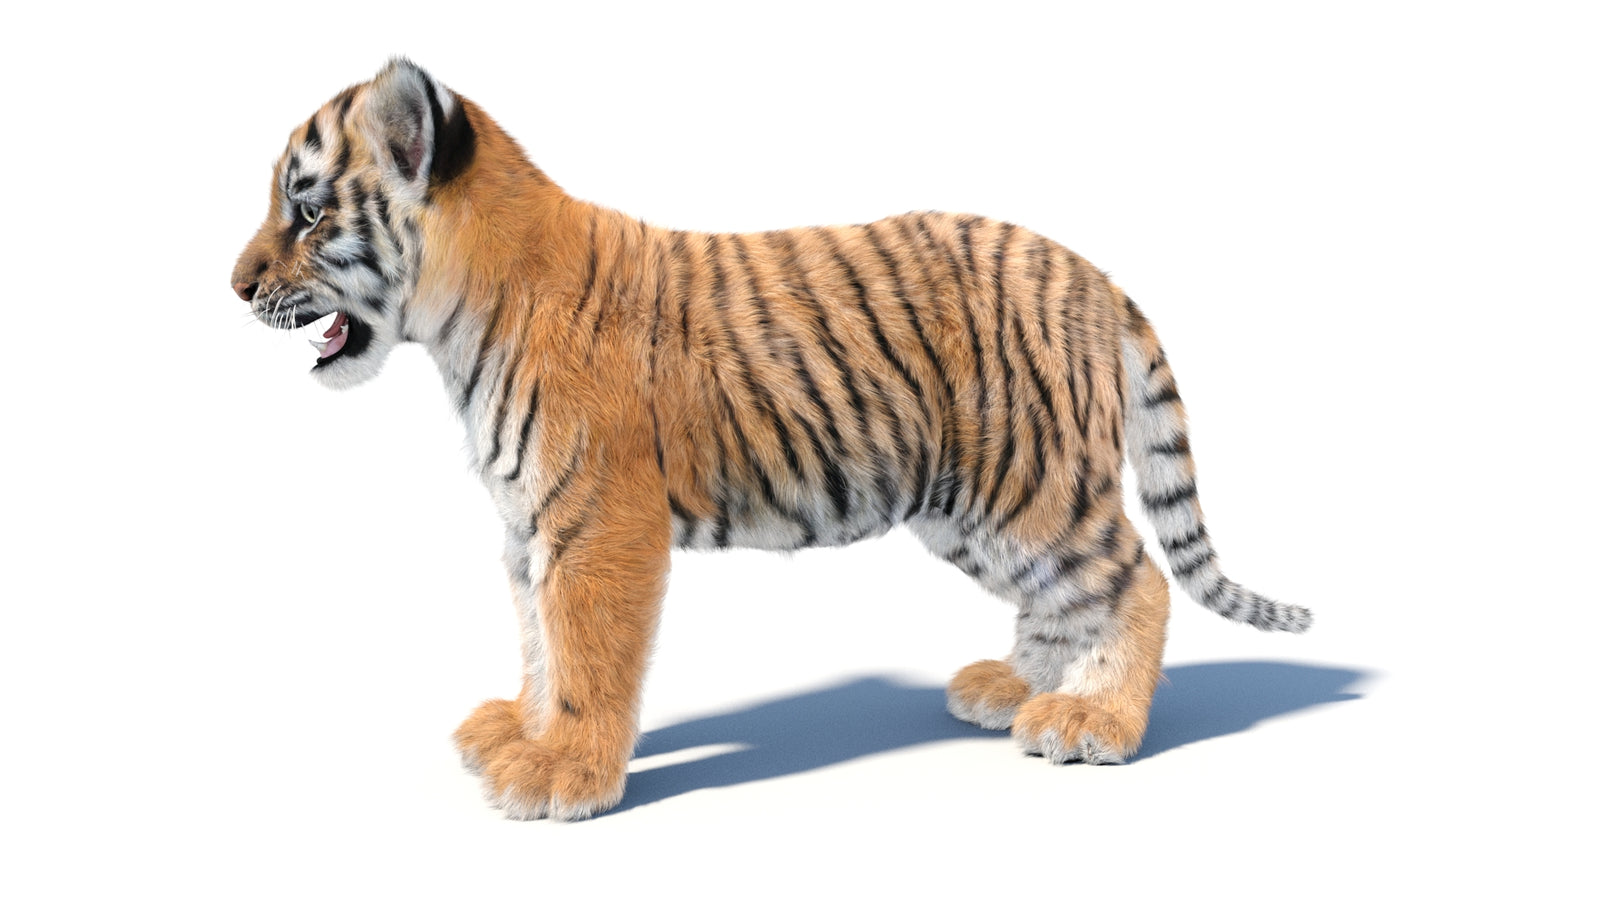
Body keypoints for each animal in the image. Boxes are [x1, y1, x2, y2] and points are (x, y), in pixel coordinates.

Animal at [231, 59, 1311, 821]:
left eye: (308, 210)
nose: (234, 286)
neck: (457, 319)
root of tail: (1092, 275)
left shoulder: (598, 524)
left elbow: (583, 652)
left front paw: (564, 775)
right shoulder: (528, 527)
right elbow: (539, 644)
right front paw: (517, 733)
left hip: (1027, 482)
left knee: (1135, 579)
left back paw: (1098, 722)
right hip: (967, 507)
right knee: (1067, 595)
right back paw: (1014, 690)